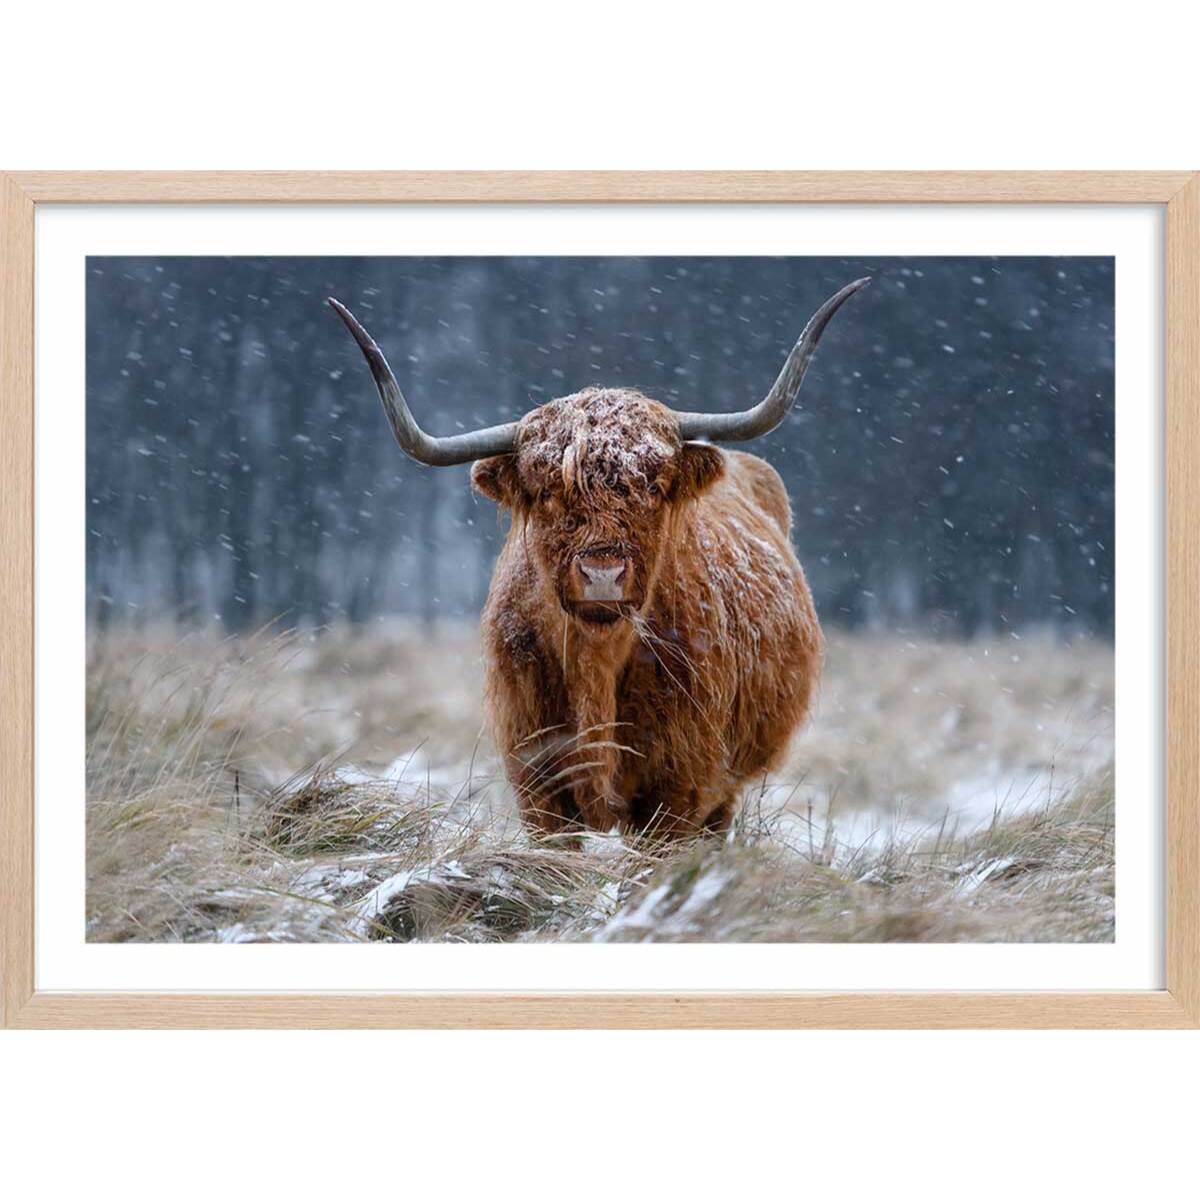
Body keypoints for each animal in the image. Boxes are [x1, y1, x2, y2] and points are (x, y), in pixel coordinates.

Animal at [330, 278, 869, 839]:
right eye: (547, 492)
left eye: (652, 486)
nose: (603, 574)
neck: (597, 663)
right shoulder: (538, 783)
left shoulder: (680, 788)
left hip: (724, 790)